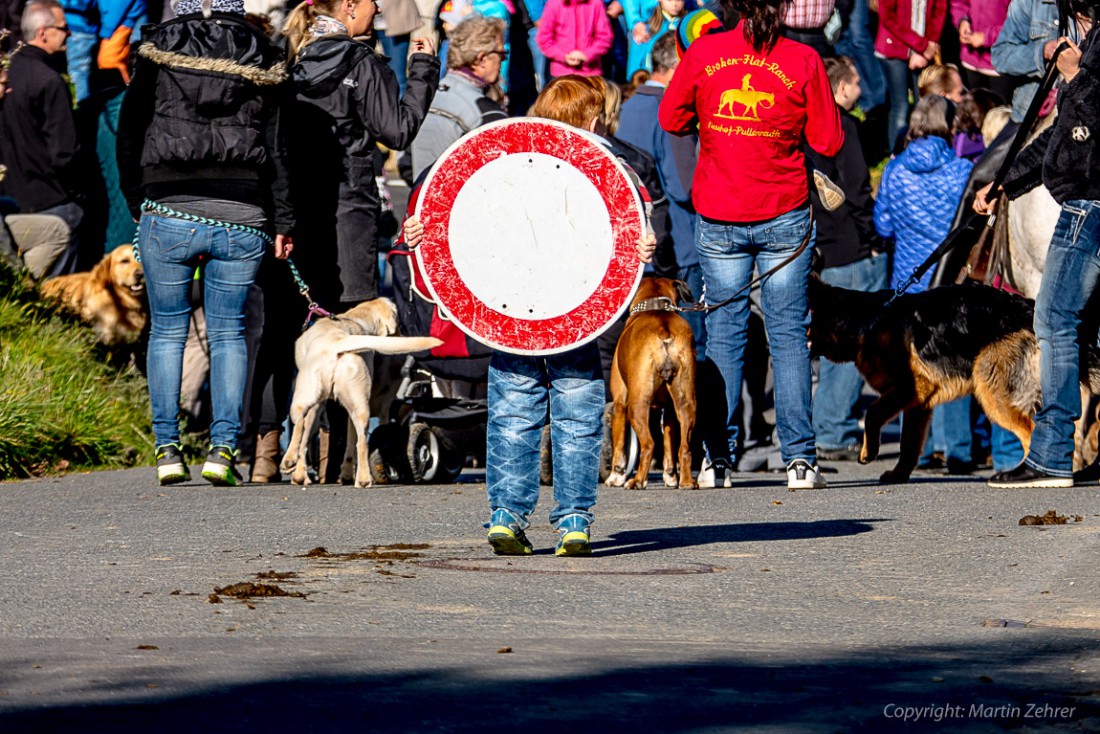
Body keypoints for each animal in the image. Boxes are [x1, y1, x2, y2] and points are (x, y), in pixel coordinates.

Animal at [281, 299, 440, 488]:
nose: (401, 334)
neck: (354, 317)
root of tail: (338, 341)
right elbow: (349, 443)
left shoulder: (318, 407)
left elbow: (305, 438)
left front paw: (299, 475)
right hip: (359, 407)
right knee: (362, 442)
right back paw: (363, 479)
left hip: (301, 398)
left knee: (299, 425)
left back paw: (288, 460)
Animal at [809, 278, 1100, 484]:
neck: (863, 321)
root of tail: (1028, 310)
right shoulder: (918, 404)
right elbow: (908, 445)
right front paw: (899, 474)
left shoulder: (908, 389)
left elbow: (872, 412)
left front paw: (868, 452)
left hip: (990, 391)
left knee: (1031, 432)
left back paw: (1027, 475)